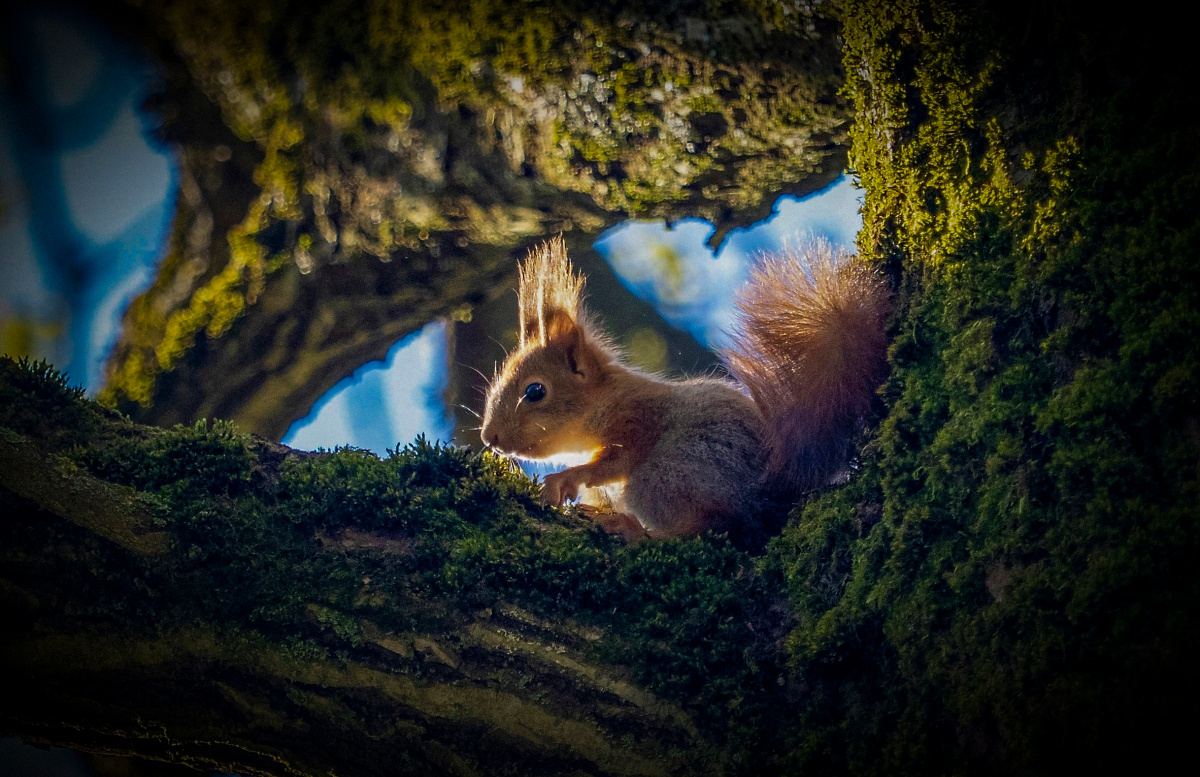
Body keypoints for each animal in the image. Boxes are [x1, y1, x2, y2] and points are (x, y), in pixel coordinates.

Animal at [479, 235, 889, 545]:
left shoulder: (637, 419)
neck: (604, 400)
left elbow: (612, 463)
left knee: (713, 524)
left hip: (672, 473)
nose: (489, 438)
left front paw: (565, 479)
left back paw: (635, 531)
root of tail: (770, 491)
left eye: (535, 391)